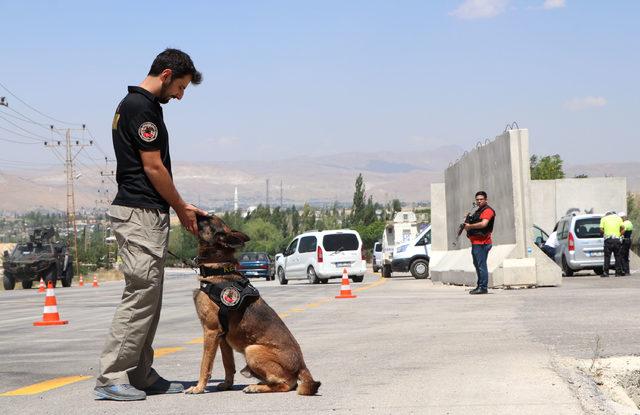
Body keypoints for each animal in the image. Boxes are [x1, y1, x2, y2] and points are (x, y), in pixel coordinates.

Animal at [184, 214, 320, 396]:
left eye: (208, 219)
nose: (194, 212)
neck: (218, 270)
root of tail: (302, 365)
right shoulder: (222, 338)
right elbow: (228, 365)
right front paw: (227, 384)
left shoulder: (211, 331)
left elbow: (205, 364)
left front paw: (199, 387)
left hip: (252, 349)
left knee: (287, 384)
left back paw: (256, 387)